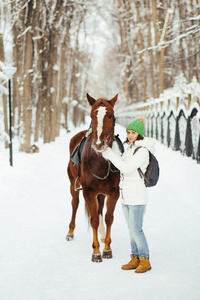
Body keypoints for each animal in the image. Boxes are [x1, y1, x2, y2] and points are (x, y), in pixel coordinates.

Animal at [66, 92, 121, 262]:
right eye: (91, 116)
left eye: (110, 115)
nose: (99, 144)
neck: (101, 161)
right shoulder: (88, 191)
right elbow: (94, 220)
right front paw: (96, 252)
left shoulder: (113, 192)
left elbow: (108, 217)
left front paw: (107, 248)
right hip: (73, 185)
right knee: (75, 204)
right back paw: (70, 232)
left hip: (102, 193)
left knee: (100, 208)